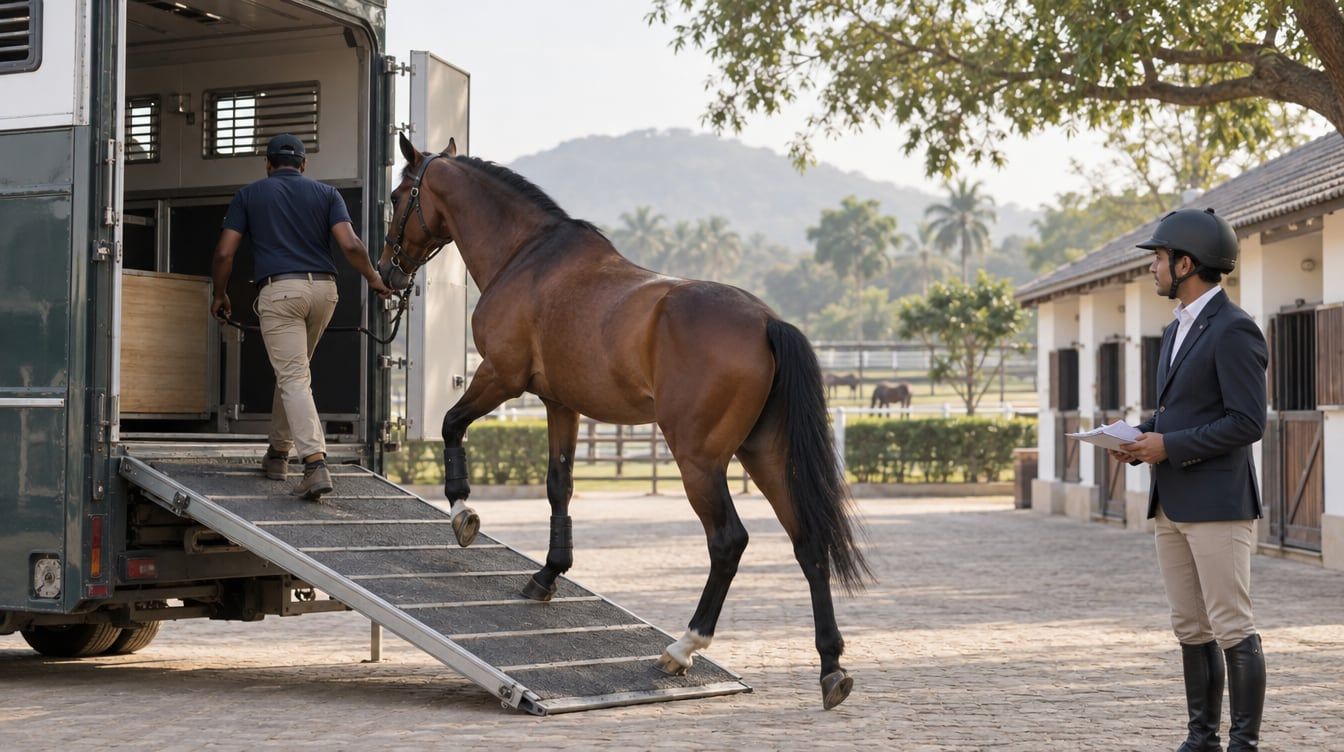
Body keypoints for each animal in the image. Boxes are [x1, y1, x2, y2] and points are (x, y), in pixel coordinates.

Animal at [377, 134, 869, 709]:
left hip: (699, 460)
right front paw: (548, 575)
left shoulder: (501, 376)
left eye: (397, 196)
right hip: (764, 454)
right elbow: (559, 485)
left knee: (728, 541)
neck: (526, 257)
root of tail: (768, 323)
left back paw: (682, 648)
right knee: (808, 542)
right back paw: (831, 668)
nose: (387, 271)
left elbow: (452, 425)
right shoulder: (560, 403)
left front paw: (463, 514)